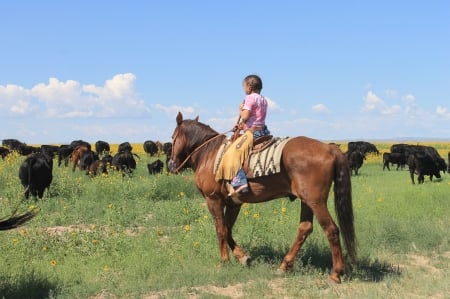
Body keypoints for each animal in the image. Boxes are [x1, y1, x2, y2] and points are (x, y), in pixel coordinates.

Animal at [167, 112, 356, 284]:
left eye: (173, 137)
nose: (170, 165)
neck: (209, 154)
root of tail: (330, 148)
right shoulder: (233, 203)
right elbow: (228, 229)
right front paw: (243, 257)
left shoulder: (213, 200)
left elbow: (220, 230)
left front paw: (224, 261)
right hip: (306, 201)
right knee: (305, 228)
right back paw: (284, 266)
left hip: (316, 202)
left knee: (331, 229)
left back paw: (336, 273)